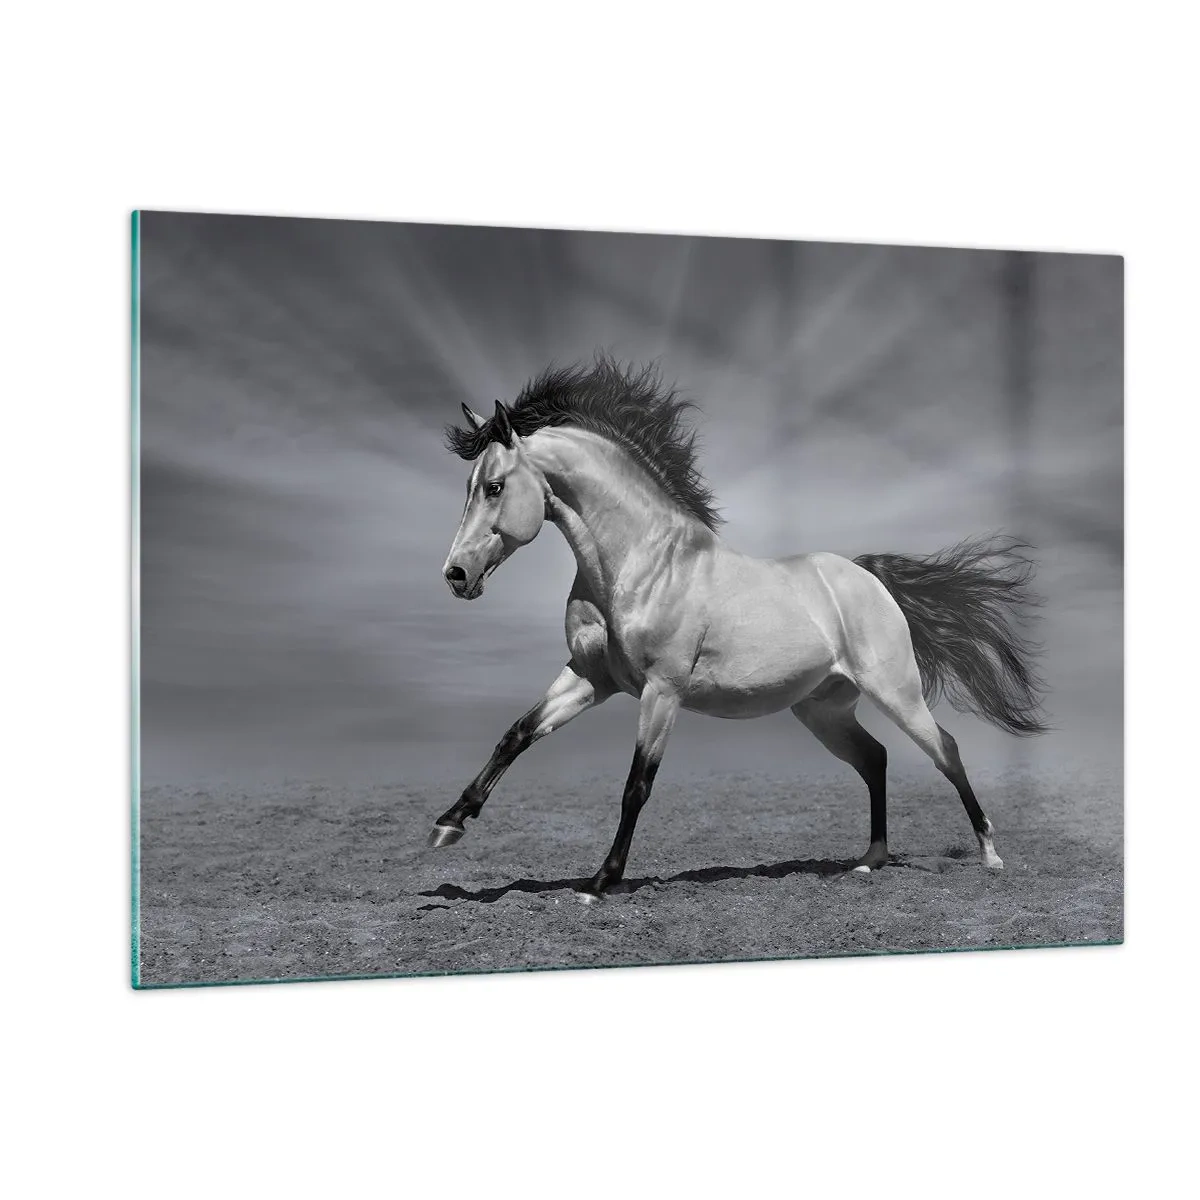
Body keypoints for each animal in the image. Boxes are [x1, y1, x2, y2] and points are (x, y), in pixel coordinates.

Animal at [431, 358, 1046, 901]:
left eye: (493, 486)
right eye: (470, 485)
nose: (455, 575)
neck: (641, 563)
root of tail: (868, 577)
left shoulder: (661, 692)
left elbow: (636, 786)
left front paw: (601, 882)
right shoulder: (589, 677)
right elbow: (516, 734)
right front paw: (449, 823)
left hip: (896, 693)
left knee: (945, 750)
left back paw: (989, 854)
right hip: (823, 710)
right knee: (875, 758)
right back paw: (869, 860)